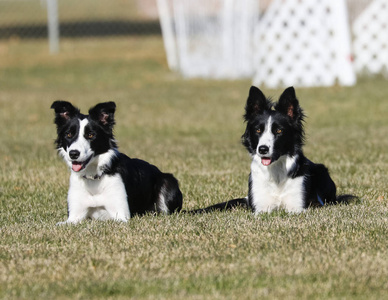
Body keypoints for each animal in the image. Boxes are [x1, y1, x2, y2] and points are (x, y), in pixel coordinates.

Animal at [50, 101, 183, 225]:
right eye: (69, 134)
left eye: (91, 135)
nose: (73, 154)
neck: (93, 178)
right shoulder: (74, 217)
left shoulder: (121, 215)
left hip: (168, 182)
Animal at [194, 85, 354, 214]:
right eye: (258, 130)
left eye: (279, 131)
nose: (263, 149)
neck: (276, 172)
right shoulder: (261, 206)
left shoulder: (296, 206)